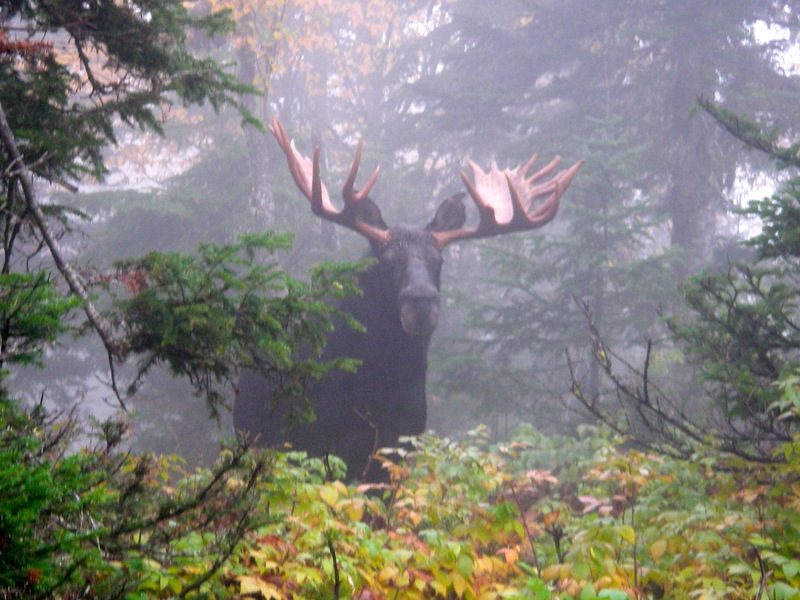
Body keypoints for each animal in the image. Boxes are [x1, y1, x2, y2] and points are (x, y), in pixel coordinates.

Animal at [234, 117, 584, 480]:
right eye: (386, 261)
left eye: (438, 260)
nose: (421, 302)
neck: (380, 385)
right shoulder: (313, 440)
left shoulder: (401, 442)